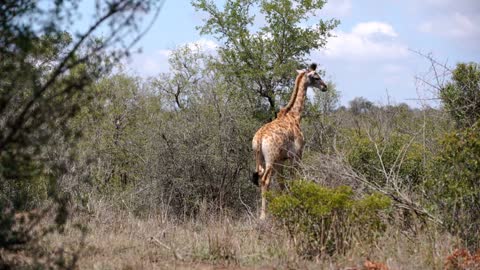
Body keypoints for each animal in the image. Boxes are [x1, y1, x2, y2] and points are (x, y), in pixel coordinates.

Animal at [251, 63, 326, 219]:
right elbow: (293, 178)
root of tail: (259, 139)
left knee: (260, 178)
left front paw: (284, 203)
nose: (325, 87)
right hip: (270, 159)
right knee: (265, 180)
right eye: (316, 77)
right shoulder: (297, 155)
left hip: (259, 158)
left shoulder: (281, 160)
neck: (294, 116)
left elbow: (281, 183)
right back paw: (263, 216)